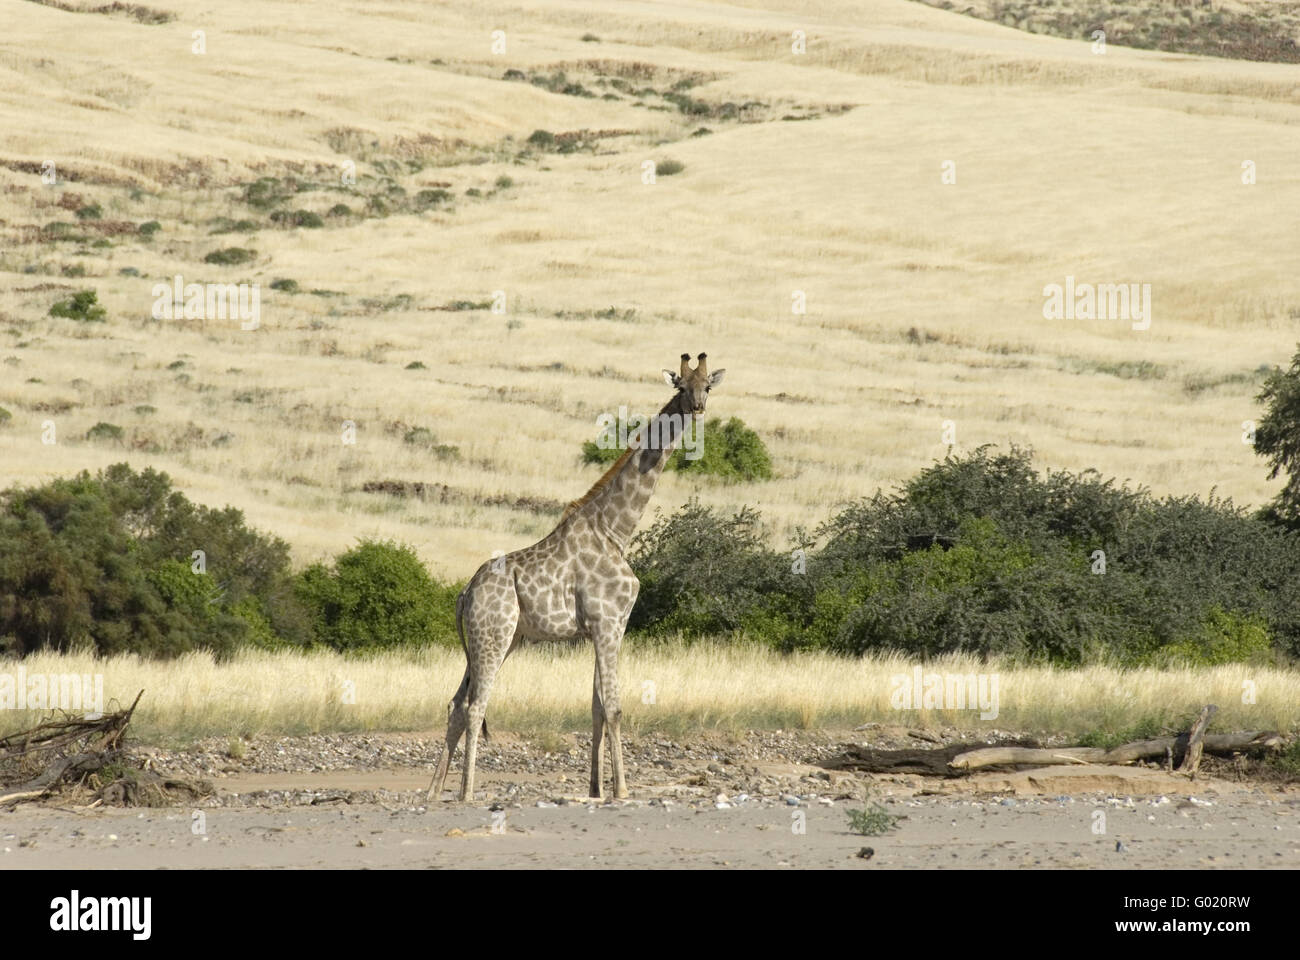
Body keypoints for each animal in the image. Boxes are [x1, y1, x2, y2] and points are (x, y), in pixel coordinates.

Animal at [431, 351, 728, 801]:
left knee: (454, 704)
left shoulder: (601, 628)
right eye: (681, 386)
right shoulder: (610, 622)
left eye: (708, 385)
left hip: (501, 639)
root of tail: (464, 594)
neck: (615, 529)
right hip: (494, 634)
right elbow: (616, 707)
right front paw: (622, 789)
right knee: (476, 705)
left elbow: (596, 708)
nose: (696, 408)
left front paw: (595, 788)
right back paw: (465, 792)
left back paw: (434, 790)